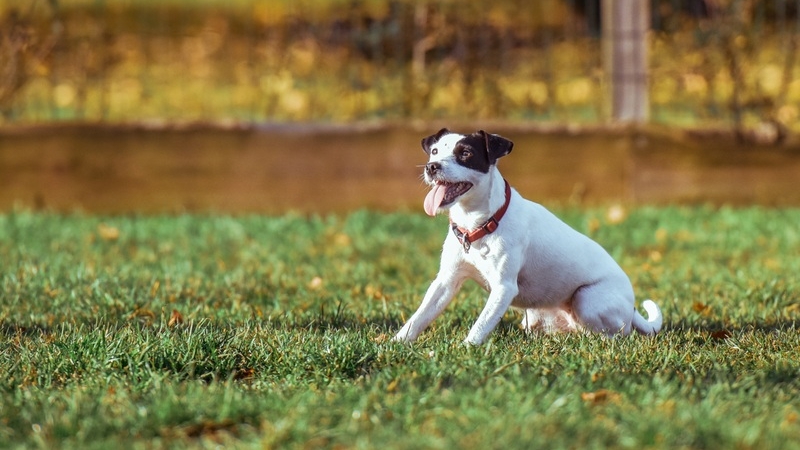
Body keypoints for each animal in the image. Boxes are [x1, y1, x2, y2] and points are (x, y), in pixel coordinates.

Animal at [394, 128, 664, 346]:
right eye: (434, 151)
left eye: (466, 153)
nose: (432, 167)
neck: (479, 224)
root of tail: (632, 308)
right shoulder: (446, 281)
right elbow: (420, 316)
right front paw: (397, 343)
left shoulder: (503, 287)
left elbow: (481, 325)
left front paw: (465, 349)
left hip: (587, 299)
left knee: (615, 334)